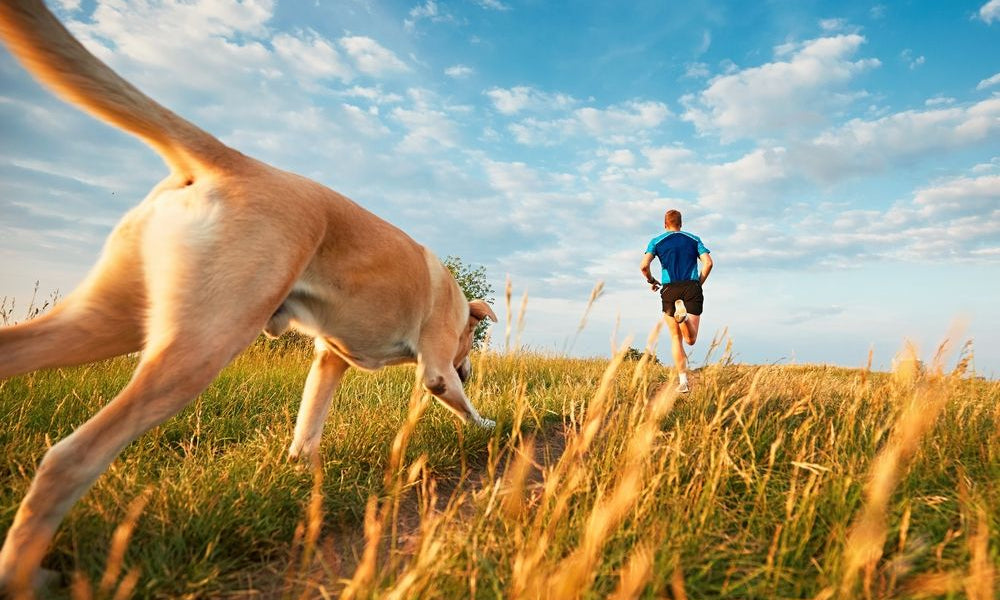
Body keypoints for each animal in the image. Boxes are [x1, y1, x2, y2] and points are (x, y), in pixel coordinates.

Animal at [0, 0, 498, 592]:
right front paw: (491, 426)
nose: (471, 368)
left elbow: (308, 426)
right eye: (467, 347)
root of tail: (232, 159)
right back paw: (23, 575)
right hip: (200, 347)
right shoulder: (436, 370)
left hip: (104, 321)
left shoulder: (329, 360)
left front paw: (303, 472)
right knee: (69, 458)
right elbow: (461, 404)